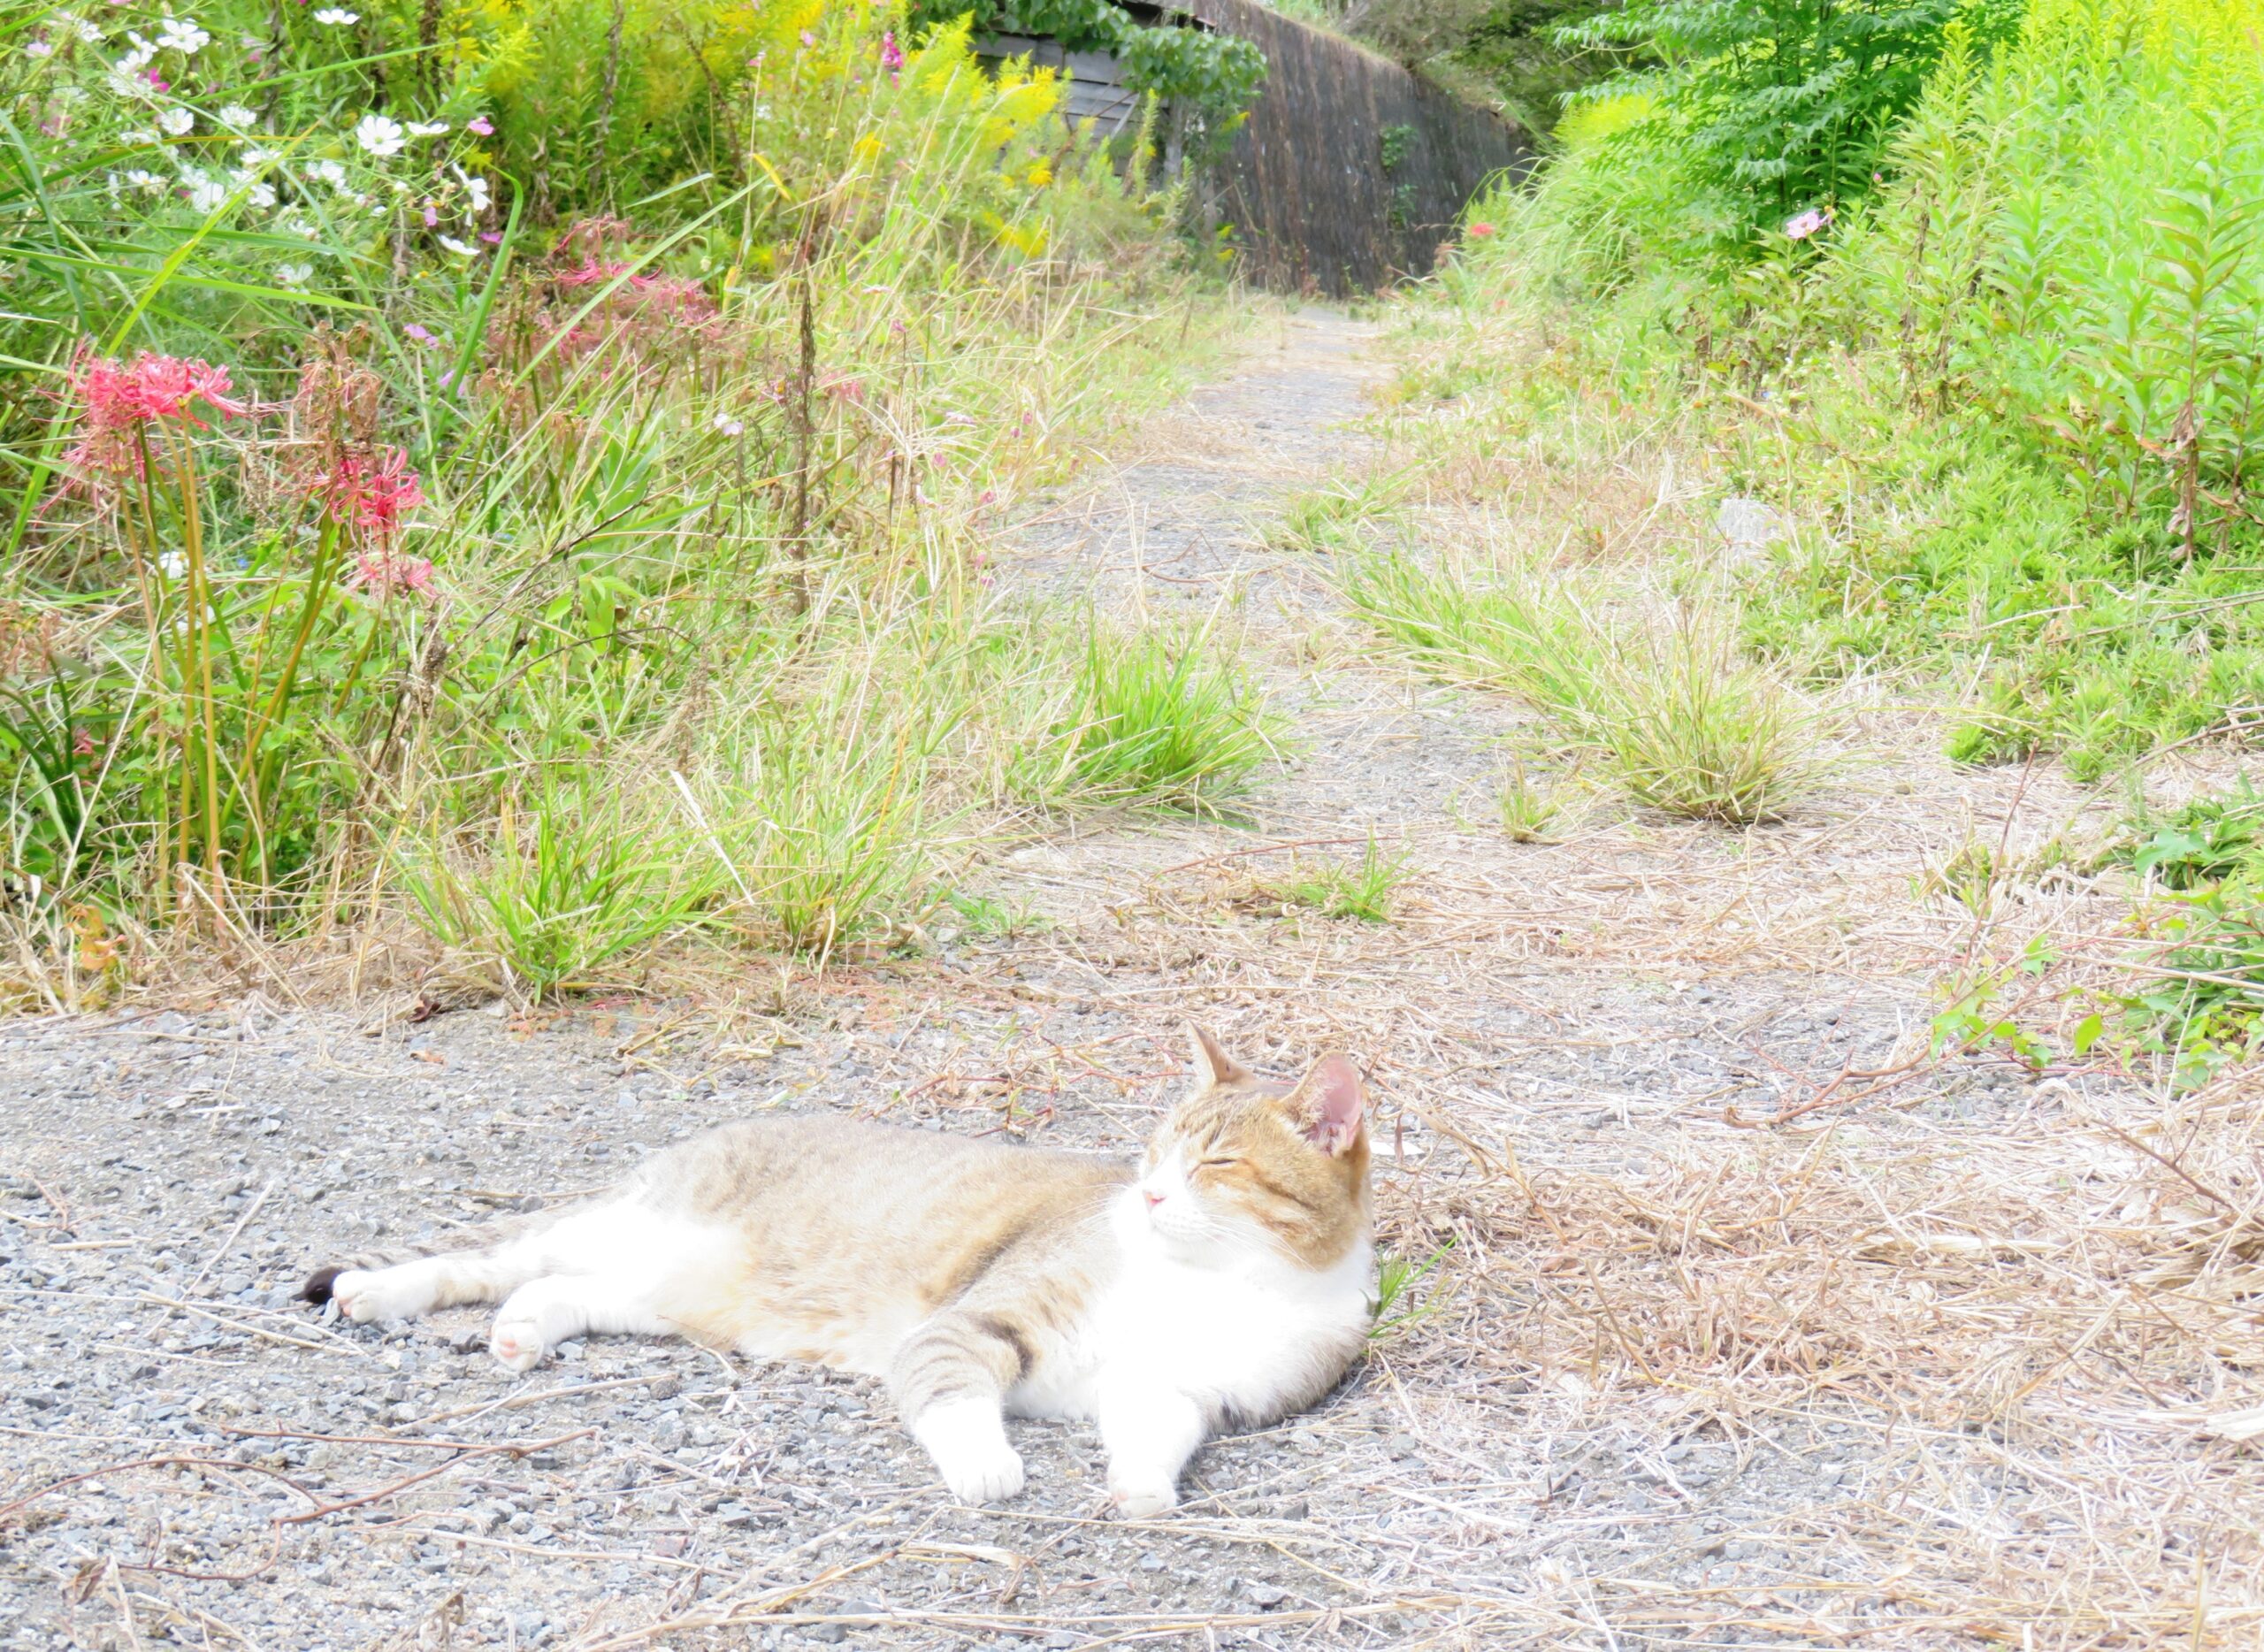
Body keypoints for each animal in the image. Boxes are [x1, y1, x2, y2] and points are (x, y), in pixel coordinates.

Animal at [294, 1022, 1367, 1511]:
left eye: (1216, 1164)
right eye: (1152, 1154)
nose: (1146, 1197)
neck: (1221, 1281)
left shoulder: (1182, 1390)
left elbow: (1154, 1435)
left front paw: (1141, 1490)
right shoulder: (975, 1323)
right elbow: (951, 1392)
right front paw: (986, 1463)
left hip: (673, 1295)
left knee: (564, 1292)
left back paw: (522, 1331)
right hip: (611, 1228)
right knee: (480, 1258)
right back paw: (373, 1290)